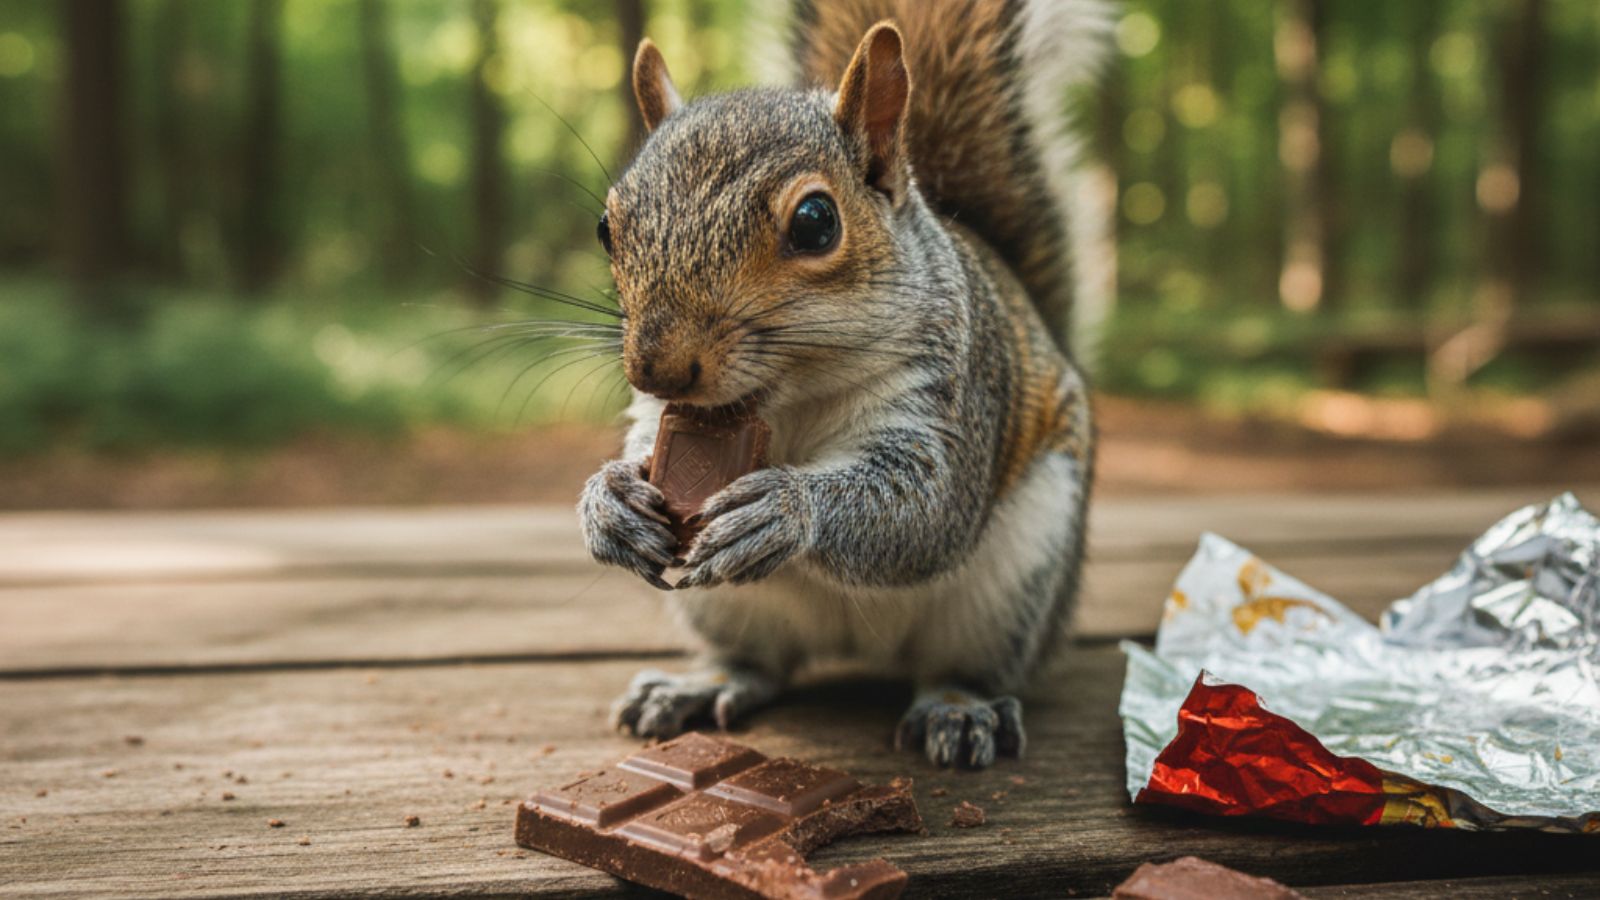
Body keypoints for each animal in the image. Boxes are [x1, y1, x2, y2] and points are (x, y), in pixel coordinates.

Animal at [579, 0, 1110, 768]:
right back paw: (702, 684)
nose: (657, 366)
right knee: (761, 663)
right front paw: (609, 502)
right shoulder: (664, 416)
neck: (788, 398)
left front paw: (785, 509)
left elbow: (925, 510)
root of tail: (857, 647)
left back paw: (960, 708)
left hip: (1016, 582)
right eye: (606, 227)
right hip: (723, 604)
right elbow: (642, 448)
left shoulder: (950, 395)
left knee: (962, 666)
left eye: (815, 221)